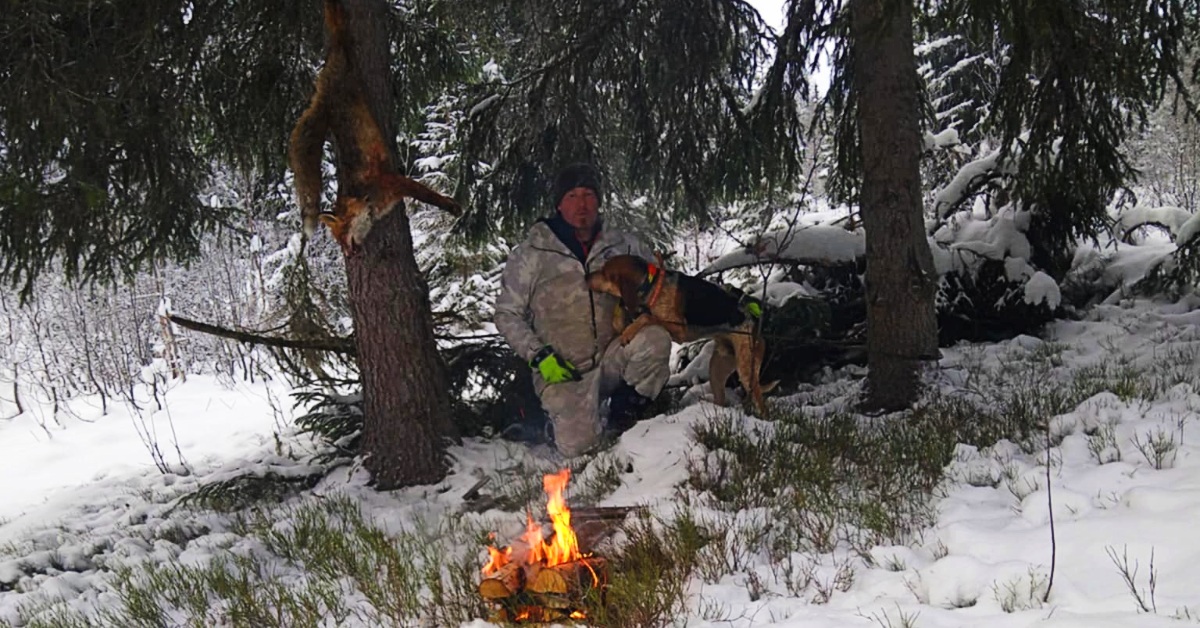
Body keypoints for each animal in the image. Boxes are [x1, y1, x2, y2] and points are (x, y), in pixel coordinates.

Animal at [588, 253, 772, 415]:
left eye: (604, 272)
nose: (586, 276)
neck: (653, 285)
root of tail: (756, 325)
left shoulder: (680, 331)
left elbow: (647, 317)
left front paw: (629, 332)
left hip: (746, 370)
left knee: (761, 404)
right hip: (717, 369)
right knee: (720, 399)